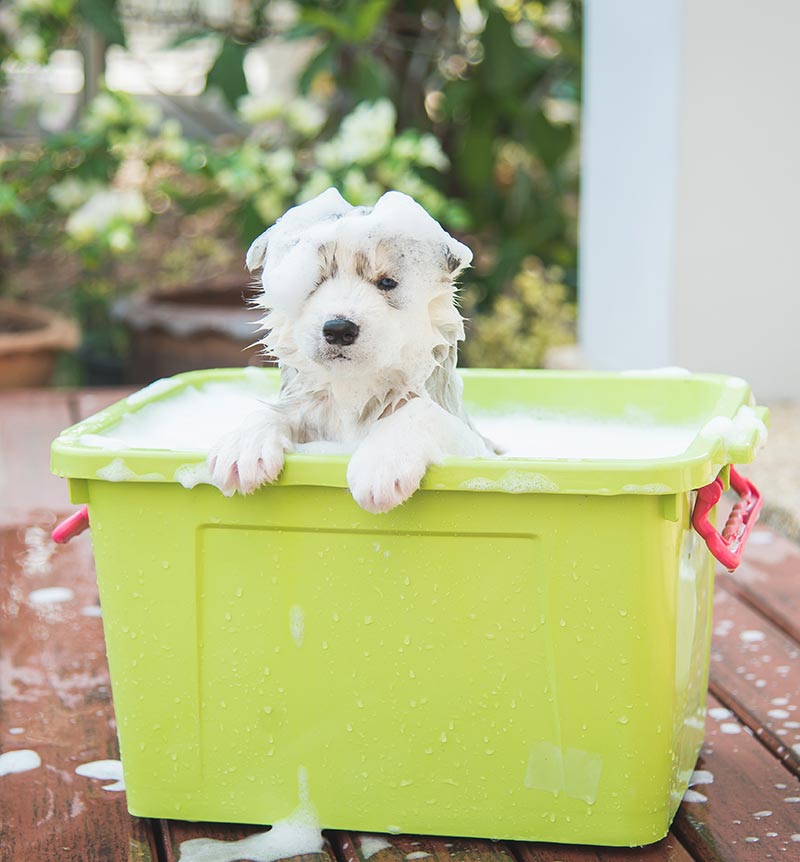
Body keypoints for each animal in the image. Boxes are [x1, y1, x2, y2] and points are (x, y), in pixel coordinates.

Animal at [209, 189, 490, 512]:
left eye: (387, 282)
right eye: (313, 282)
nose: (339, 329)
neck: (353, 390)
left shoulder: (475, 444)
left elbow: (419, 410)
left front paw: (382, 463)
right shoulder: (309, 407)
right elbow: (274, 410)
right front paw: (243, 445)